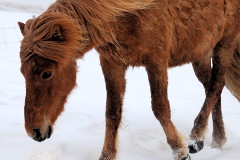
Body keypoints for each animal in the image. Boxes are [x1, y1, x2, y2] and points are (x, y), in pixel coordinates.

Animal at [18, 0, 240, 160]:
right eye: (22, 72)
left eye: (47, 73)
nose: (34, 132)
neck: (126, 14)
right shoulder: (112, 64)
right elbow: (112, 112)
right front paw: (106, 156)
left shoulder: (156, 62)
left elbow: (160, 108)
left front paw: (180, 150)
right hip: (200, 52)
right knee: (212, 89)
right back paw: (217, 141)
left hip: (224, 44)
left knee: (216, 86)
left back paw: (196, 138)